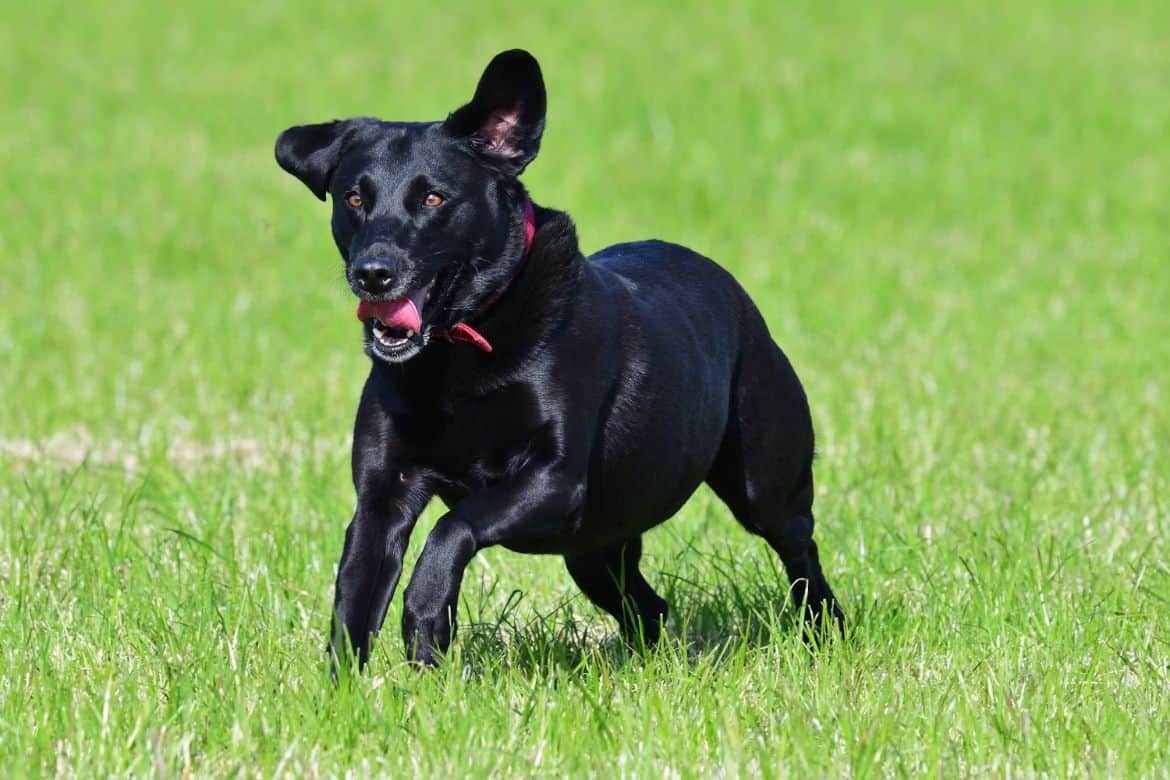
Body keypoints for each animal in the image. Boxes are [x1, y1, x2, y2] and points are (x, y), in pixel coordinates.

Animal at [276, 50, 842, 673]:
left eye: (433, 198)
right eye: (353, 198)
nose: (373, 273)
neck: (458, 357)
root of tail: (736, 295)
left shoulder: (552, 479)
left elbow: (451, 530)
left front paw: (425, 619)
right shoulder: (382, 497)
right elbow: (353, 605)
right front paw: (350, 689)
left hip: (763, 483)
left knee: (801, 555)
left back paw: (827, 634)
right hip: (595, 546)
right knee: (648, 606)